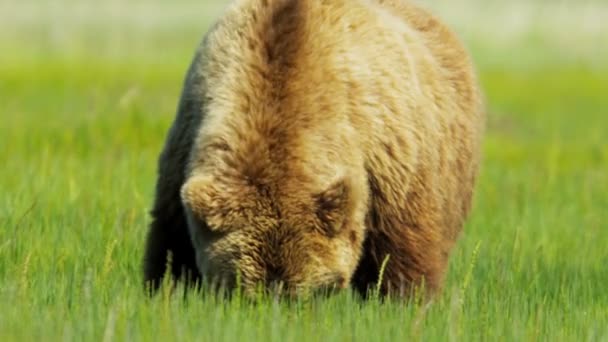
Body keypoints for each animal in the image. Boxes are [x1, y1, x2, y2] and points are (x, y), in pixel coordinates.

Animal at [141, 0, 484, 300]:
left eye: (313, 287)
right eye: (242, 285)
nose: (275, 303)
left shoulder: (388, 161)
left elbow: (402, 252)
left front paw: (405, 300)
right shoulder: (188, 132)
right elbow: (171, 244)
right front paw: (168, 288)